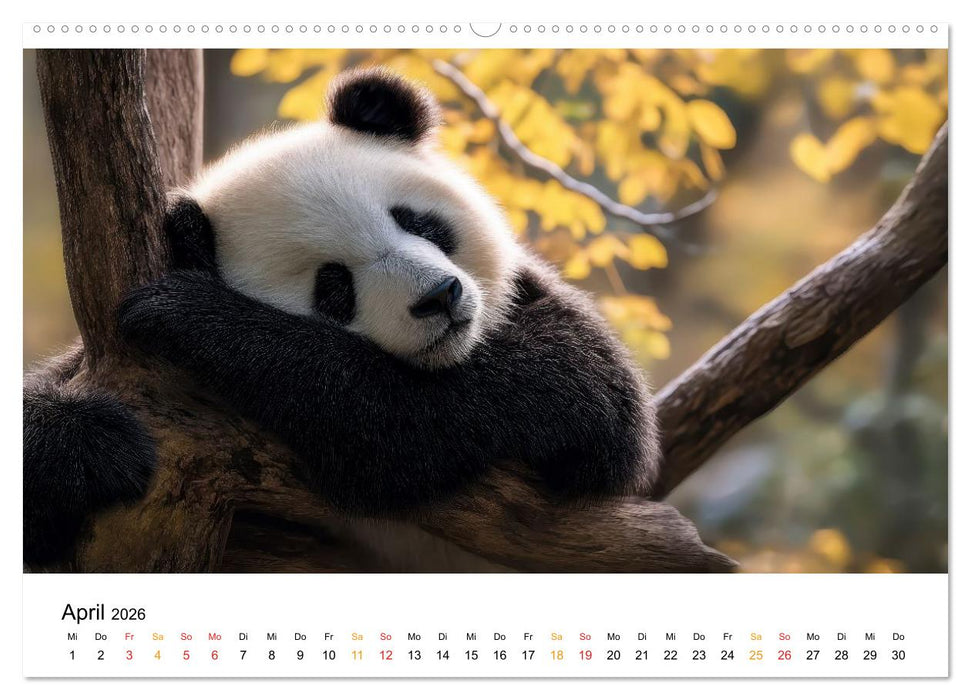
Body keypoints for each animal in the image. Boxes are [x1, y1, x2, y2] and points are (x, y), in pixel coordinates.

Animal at [24, 68, 661, 568]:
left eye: (416, 221)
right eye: (334, 288)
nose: (439, 297)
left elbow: (566, 390)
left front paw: (193, 316)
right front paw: (93, 442)